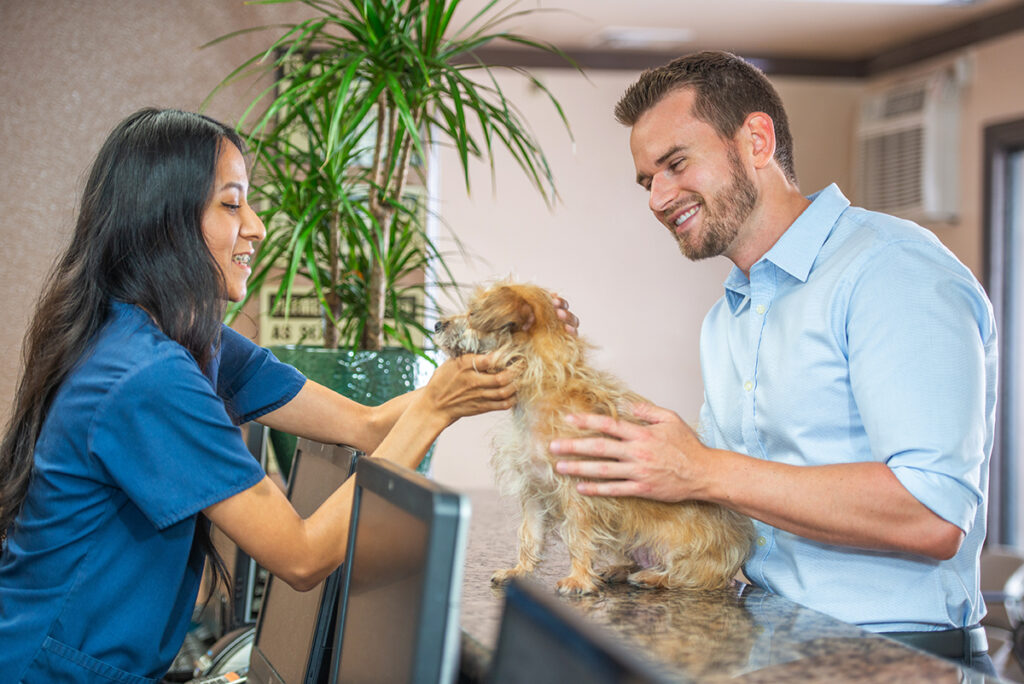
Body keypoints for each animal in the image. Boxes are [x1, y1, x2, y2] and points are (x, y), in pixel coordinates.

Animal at [432, 278, 753, 593]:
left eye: (473, 313)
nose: (436, 324)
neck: (538, 392)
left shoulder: (579, 493)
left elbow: (578, 535)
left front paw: (578, 579)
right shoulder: (534, 492)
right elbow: (529, 535)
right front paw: (519, 570)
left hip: (687, 549)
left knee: (695, 575)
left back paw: (654, 577)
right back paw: (619, 569)